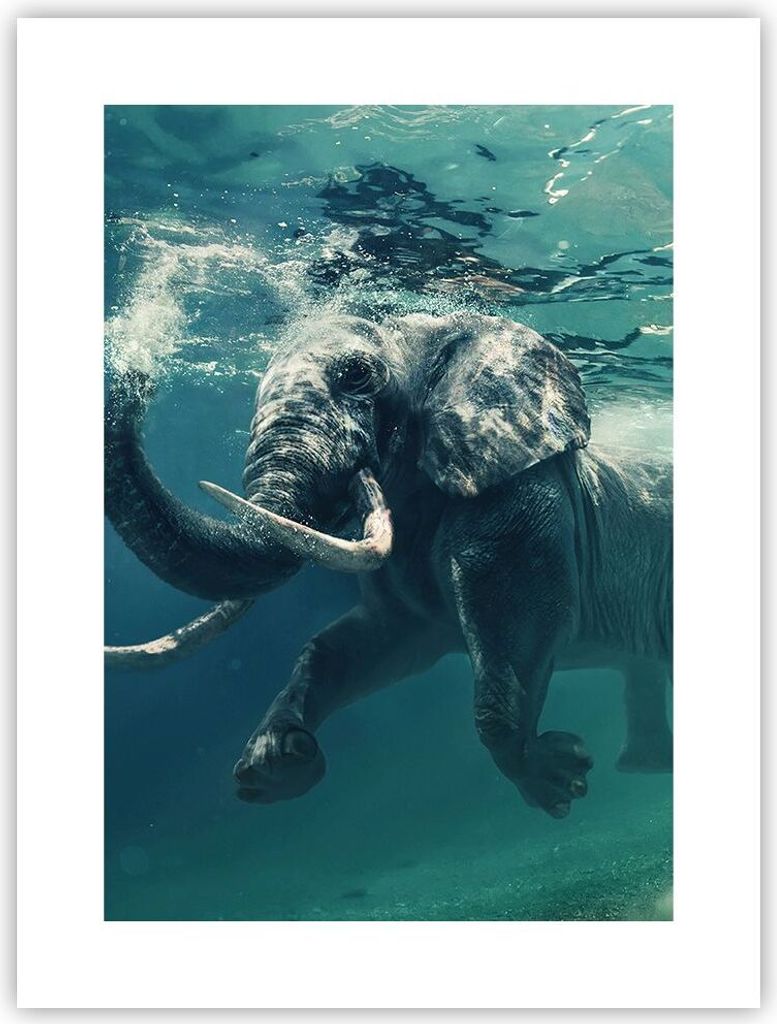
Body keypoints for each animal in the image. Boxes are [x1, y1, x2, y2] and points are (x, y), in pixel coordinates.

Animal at [105, 312, 672, 818]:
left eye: (357, 375)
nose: (132, 381)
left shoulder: (518, 502)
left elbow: (517, 629)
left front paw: (559, 780)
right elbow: (358, 645)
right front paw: (275, 764)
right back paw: (646, 767)